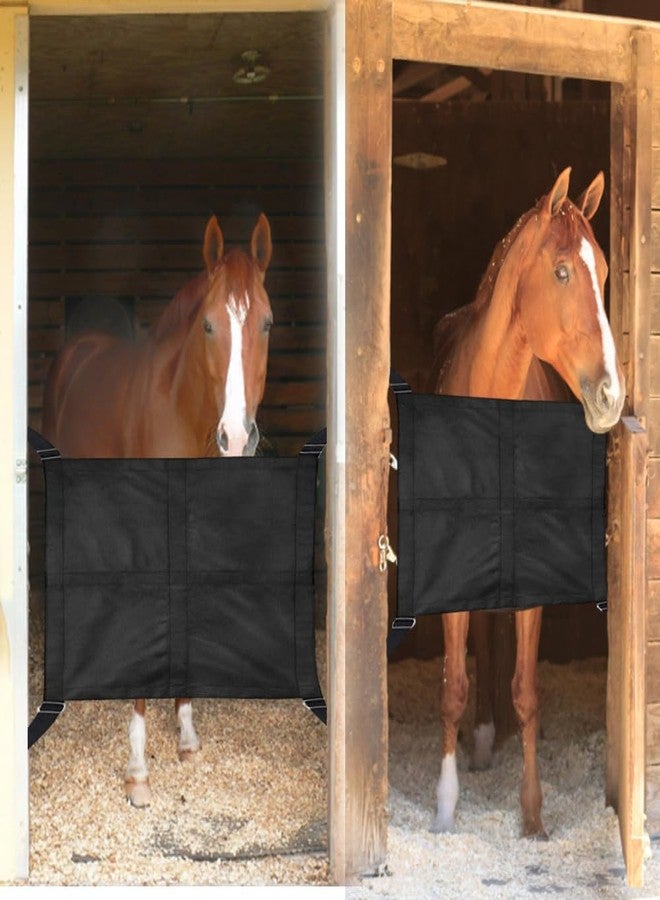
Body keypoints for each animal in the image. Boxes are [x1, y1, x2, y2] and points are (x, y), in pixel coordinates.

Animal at [427, 168, 624, 839]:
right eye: (562, 272)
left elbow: (528, 691)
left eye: (608, 270)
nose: (611, 395)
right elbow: (453, 685)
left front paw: (533, 813)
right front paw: (445, 805)